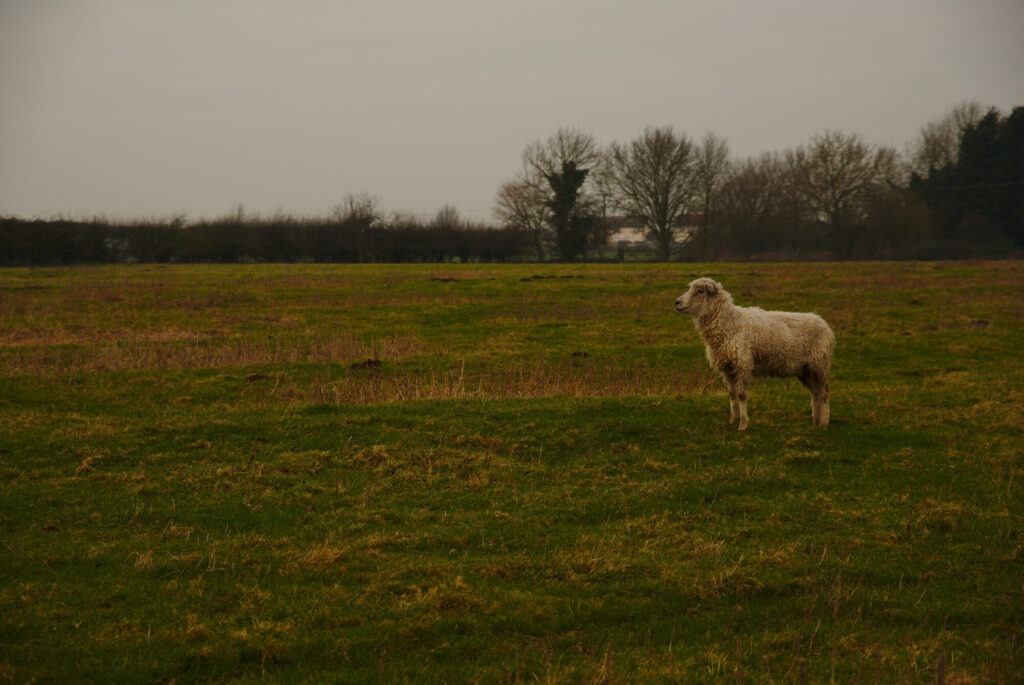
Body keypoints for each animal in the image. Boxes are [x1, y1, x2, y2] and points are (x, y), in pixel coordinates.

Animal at [674, 278, 834, 431]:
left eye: (700, 291)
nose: (677, 302)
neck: (730, 324)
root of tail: (825, 325)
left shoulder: (743, 363)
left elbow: (741, 395)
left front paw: (743, 424)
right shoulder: (727, 367)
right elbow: (732, 394)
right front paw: (732, 420)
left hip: (819, 365)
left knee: (824, 393)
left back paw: (823, 423)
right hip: (804, 370)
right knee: (815, 393)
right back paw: (815, 421)